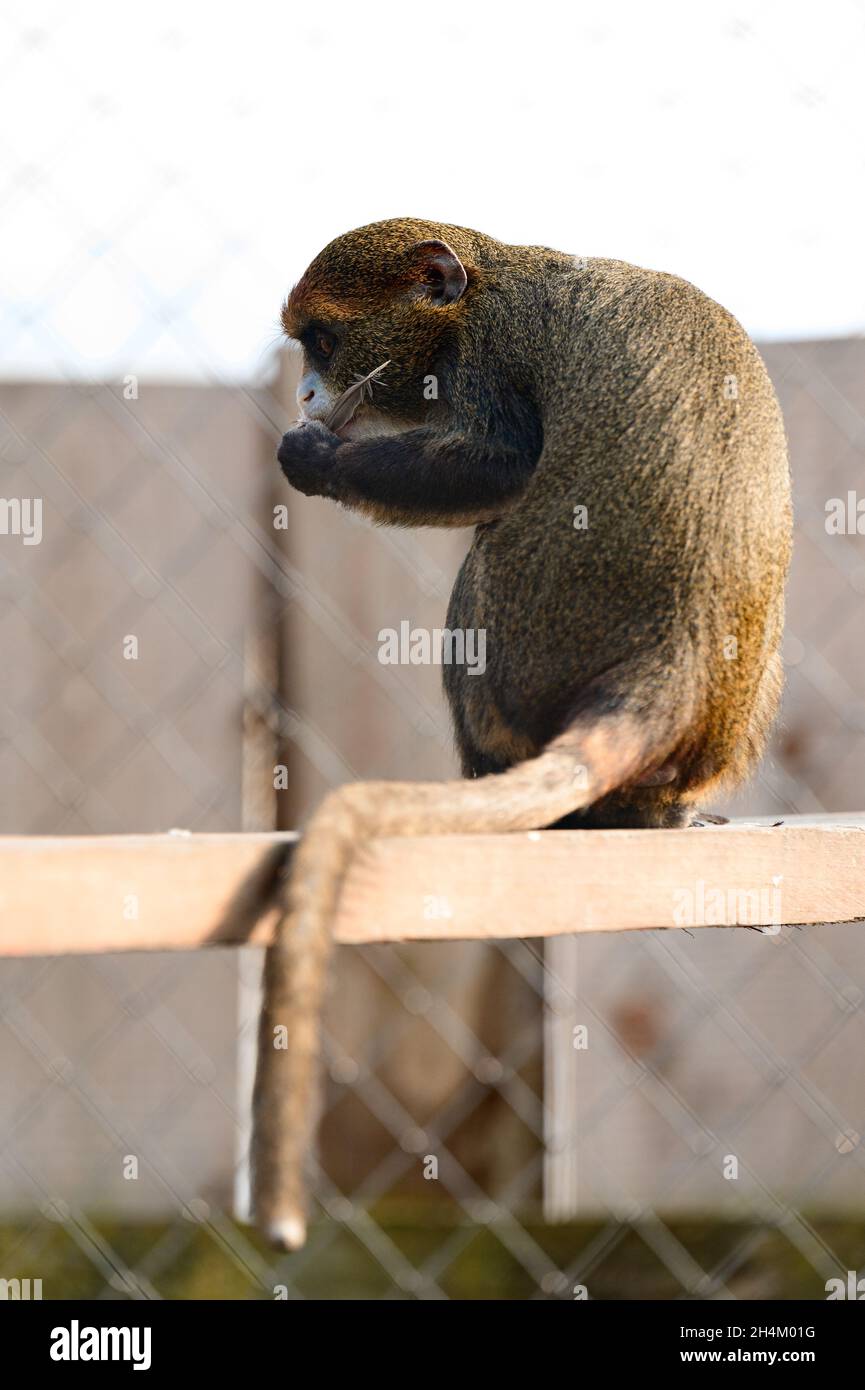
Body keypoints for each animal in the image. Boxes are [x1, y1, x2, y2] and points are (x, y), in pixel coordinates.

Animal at [251, 217, 792, 1248]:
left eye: (323, 342)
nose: (302, 395)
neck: (488, 276)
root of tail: (672, 661)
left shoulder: (487, 361)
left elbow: (497, 463)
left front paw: (314, 459)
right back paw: (658, 812)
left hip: (523, 631)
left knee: (489, 544)